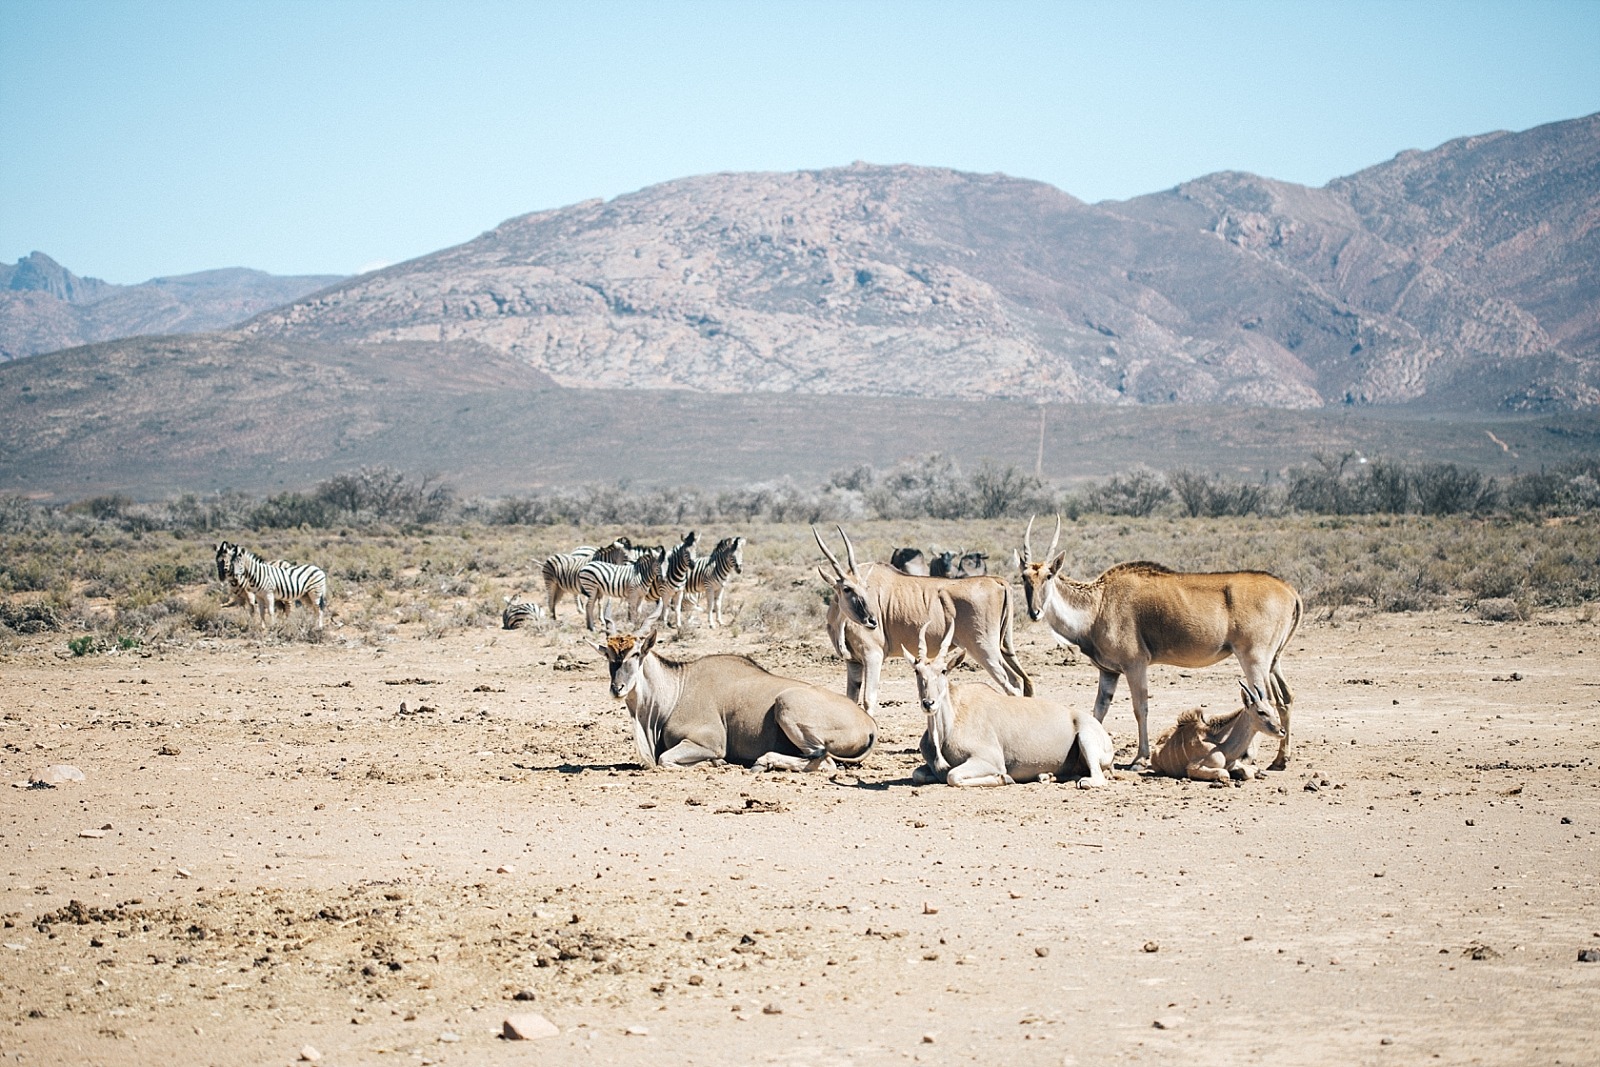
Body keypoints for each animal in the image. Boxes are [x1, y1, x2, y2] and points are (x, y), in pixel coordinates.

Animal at [598, 620, 883, 771]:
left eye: (636, 654)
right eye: (609, 657)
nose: (617, 688)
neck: (676, 689)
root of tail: (869, 725)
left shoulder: (709, 743)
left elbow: (665, 759)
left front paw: (713, 764)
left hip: (786, 705)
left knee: (823, 761)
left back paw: (763, 762)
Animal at [819, 527, 1030, 716]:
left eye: (866, 587)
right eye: (847, 588)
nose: (872, 621)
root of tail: (997, 581)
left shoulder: (873, 656)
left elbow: (868, 700)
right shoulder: (854, 662)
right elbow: (851, 699)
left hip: (984, 649)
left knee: (1013, 684)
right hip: (1003, 647)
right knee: (1019, 680)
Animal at [1024, 518, 1299, 767]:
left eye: (1048, 575)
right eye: (1024, 577)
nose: (1034, 612)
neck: (1099, 604)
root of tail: (1289, 590)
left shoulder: (1135, 665)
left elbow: (1140, 707)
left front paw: (1140, 759)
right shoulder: (1109, 672)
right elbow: (1098, 710)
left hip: (1253, 658)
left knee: (1266, 698)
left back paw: (1250, 756)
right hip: (1273, 661)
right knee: (1285, 697)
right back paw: (1280, 759)